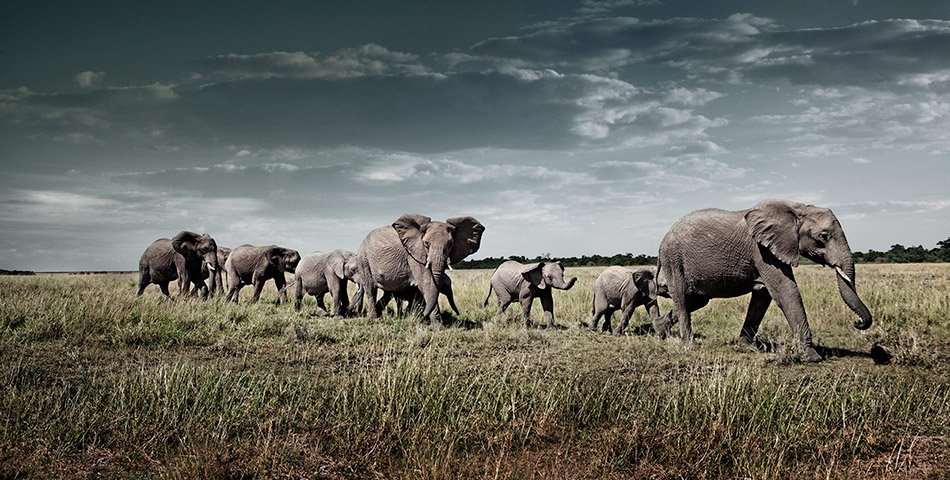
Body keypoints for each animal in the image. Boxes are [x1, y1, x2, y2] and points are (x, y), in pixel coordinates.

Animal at [356, 215, 484, 330]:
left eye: (450, 244)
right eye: (426, 243)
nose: (459, 314)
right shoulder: (414, 255)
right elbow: (427, 284)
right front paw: (438, 328)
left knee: (387, 293)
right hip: (364, 260)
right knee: (371, 289)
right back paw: (374, 320)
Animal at [660, 198, 872, 360]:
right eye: (823, 236)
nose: (857, 323)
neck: (798, 209)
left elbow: (762, 297)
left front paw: (747, 348)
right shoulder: (762, 251)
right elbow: (785, 291)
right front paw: (812, 357)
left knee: (696, 301)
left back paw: (660, 330)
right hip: (673, 259)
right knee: (682, 298)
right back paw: (690, 346)